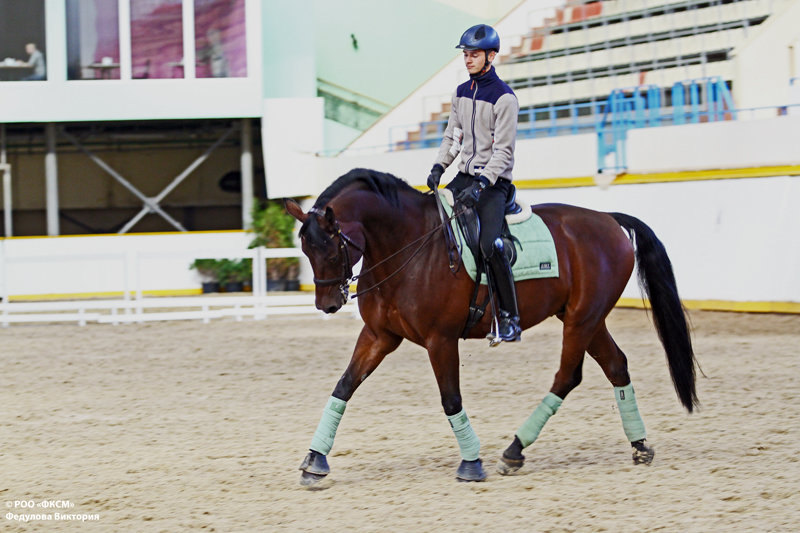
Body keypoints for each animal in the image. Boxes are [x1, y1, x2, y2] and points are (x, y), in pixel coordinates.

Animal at [284, 168, 696, 484]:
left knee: (568, 376)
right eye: (305, 250)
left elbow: (450, 398)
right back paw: (639, 446)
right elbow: (344, 386)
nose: (327, 304)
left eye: (330, 248)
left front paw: (471, 463)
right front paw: (315, 461)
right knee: (615, 365)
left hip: (582, 319)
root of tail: (608, 218)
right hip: (586, 319)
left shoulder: (440, 339)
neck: (407, 244)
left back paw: (514, 451)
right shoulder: (379, 336)